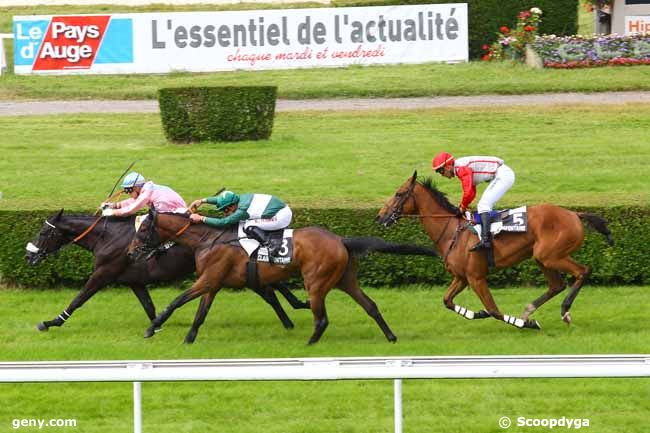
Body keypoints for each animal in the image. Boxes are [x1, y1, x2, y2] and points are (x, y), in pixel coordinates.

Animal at [24, 209, 308, 330]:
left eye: (43, 232)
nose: (28, 255)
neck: (107, 237)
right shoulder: (134, 281)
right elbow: (149, 306)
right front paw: (158, 323)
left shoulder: (104, 273)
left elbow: (78, 299)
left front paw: (50, 322)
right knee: (271, 286)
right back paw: (296, 307)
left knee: (270, 291)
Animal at [126, 209, 438, 344]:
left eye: (144, 230)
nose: (130, 253)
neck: (207, 239)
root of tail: (341, 239)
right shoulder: (213, 283)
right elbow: (201, 312)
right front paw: (189, 338)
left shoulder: (208, 280)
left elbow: (177, 301)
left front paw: (152, 327)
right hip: (345, 280)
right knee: (370, 305)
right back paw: (391, 337)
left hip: (316, 281)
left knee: (321, 317)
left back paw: (310, 343)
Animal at [378, 170, 612, 330]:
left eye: (398, 194)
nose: (380, 216)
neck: (453, 231)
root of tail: (574, 214)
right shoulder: (461, 277)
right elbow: (447, 301)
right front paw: (478, 313)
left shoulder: (476, 278)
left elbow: (494, 310)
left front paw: (527, 324)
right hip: (542, 257)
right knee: (557, 284)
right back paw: (529, 311)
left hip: (551, 255)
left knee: (582, 271)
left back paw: (563, 311)